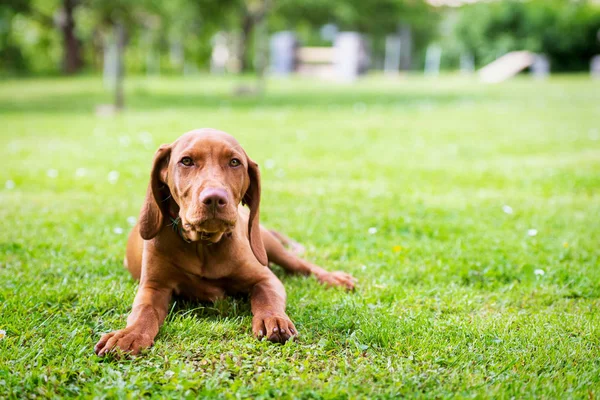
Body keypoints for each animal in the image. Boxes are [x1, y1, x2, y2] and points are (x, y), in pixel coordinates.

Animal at [94, 128, 356, 356]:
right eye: (186, 161)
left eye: (234, 162)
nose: (213, 199)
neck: (203, 246)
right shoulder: (153, 287)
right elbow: (143, 312)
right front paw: (129, 334)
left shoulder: (265, 278)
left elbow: (266, 297)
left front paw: (273, 319)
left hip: (267, 244)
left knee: (301, 265)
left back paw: (334, 278)